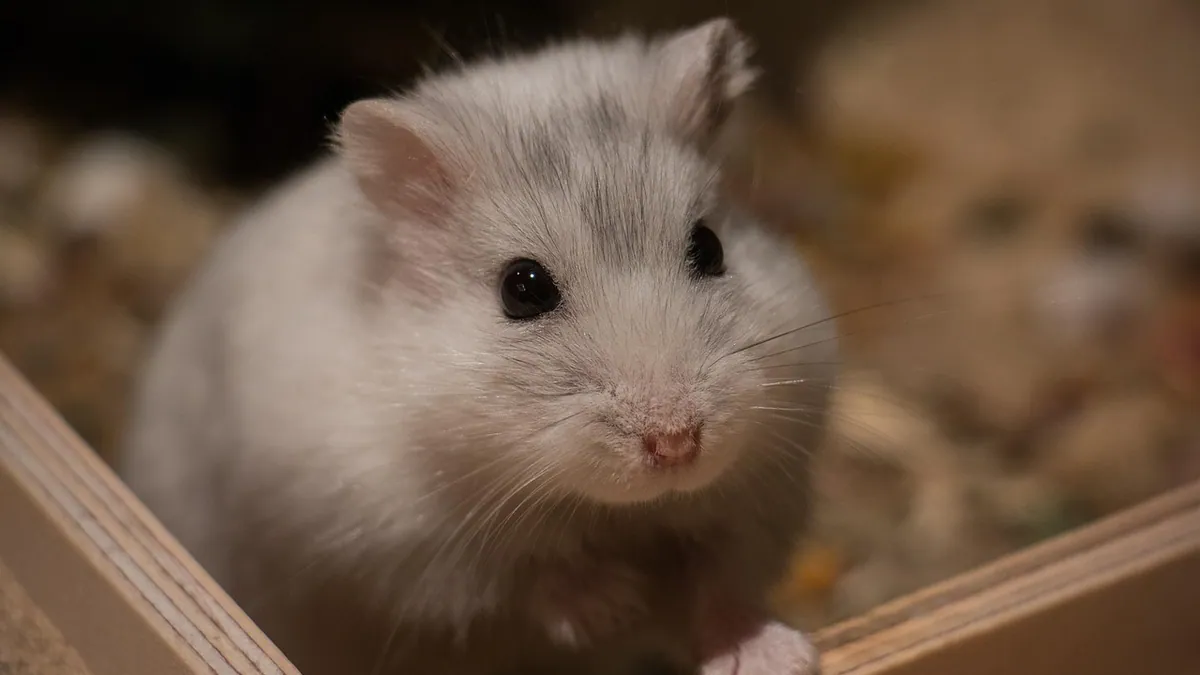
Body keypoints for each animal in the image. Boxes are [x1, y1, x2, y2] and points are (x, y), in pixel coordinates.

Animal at [119, 18, 834, 675]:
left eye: (709, 247)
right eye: (522, 288)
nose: (677, 444)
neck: (614, 510)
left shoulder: (760, 493)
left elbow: (721, 583)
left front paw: (774, 657)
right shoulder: (404, 543)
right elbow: (523, 575)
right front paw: (615, 603)